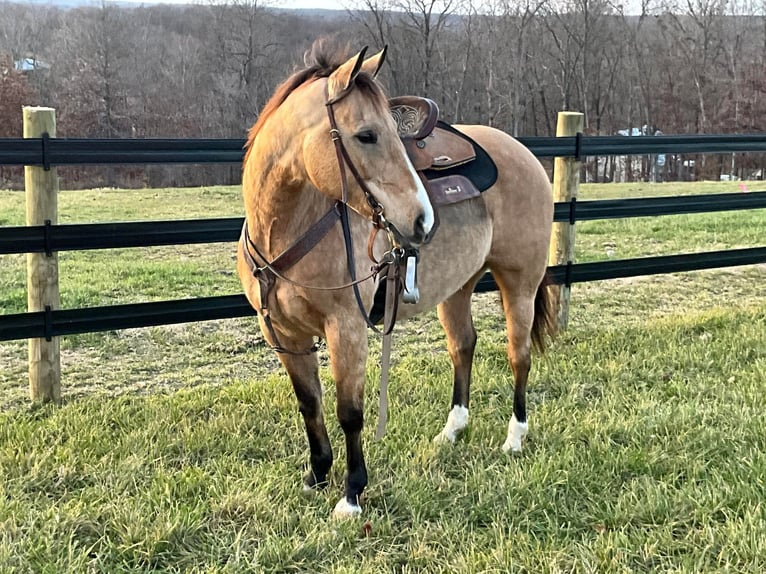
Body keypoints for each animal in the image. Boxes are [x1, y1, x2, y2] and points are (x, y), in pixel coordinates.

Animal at [237, 38, 556, 520]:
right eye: (366, 134)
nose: (421, 220)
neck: (287, 230)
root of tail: (525, 154)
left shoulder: (346, 328)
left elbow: (349, 412)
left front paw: (351, 496)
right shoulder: (284, 335)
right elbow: (309, 403)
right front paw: (316, 475)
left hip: (519, 282)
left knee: (518, 355)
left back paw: (515, 438)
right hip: (457, 287)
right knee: (462, 346)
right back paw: (452, 431)